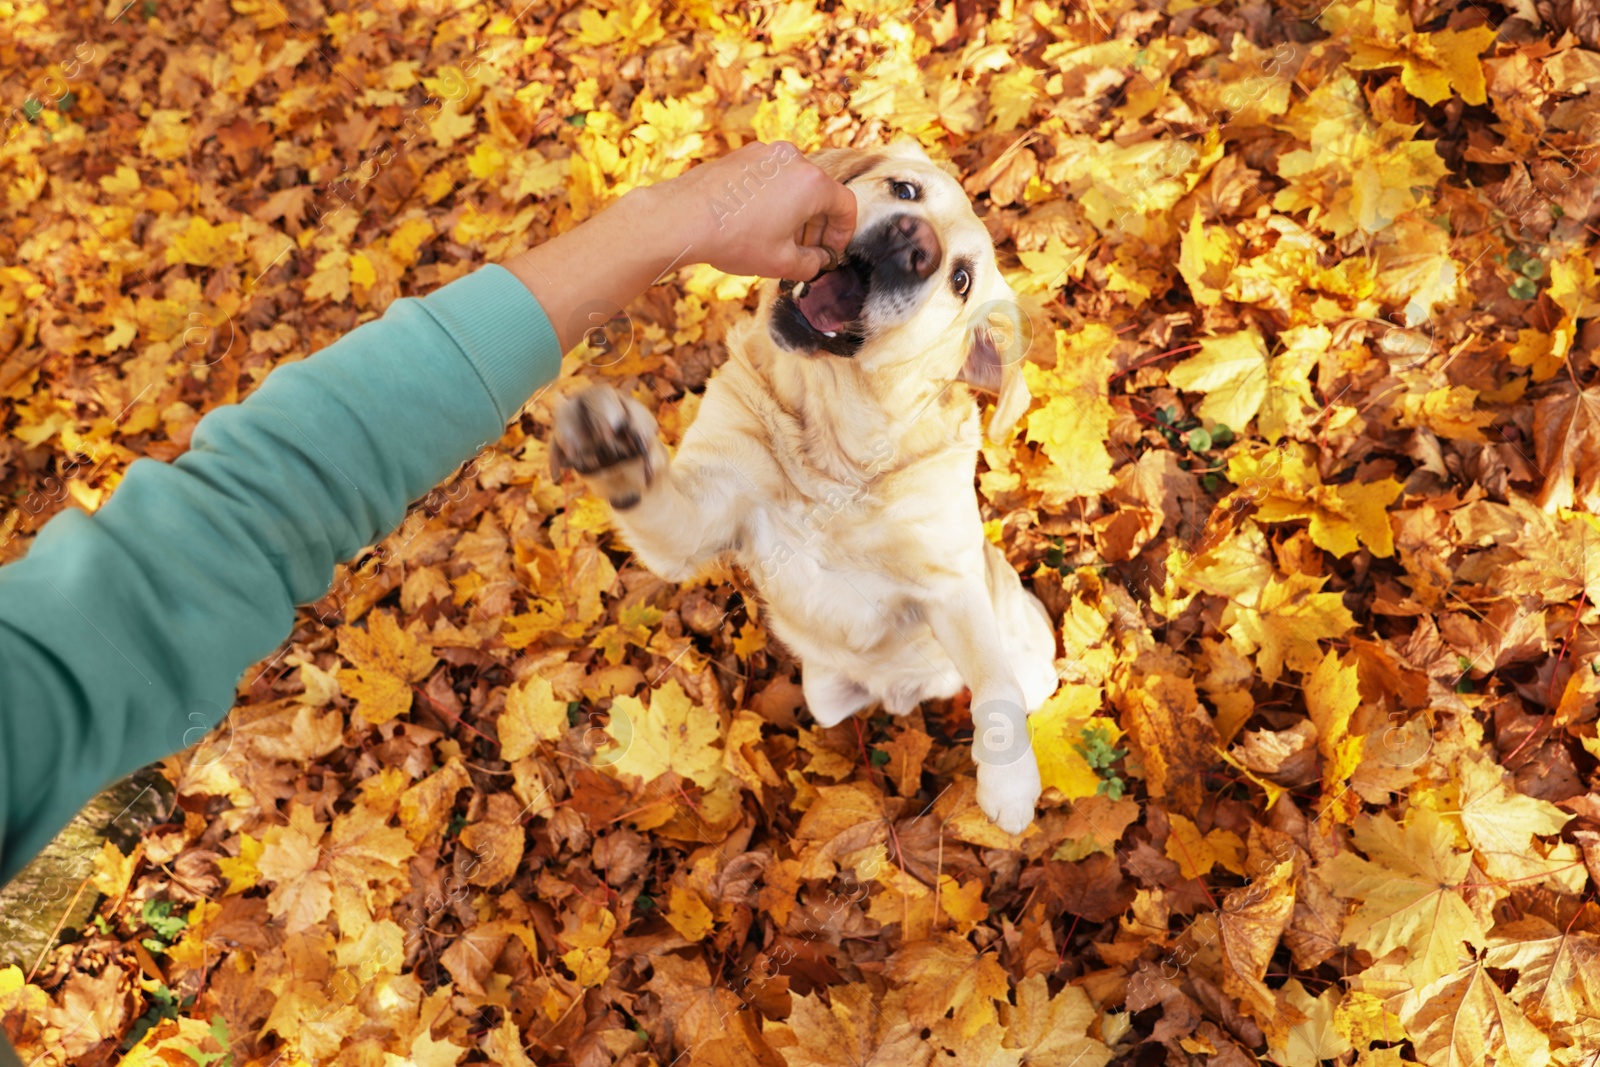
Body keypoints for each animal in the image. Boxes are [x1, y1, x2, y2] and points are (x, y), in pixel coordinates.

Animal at [550, 139, 1062, 831]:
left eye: (961, 282)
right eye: (905, 191)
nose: (914, 243)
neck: (833, 446)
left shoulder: (951, 582)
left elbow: (996, 686)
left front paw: (1009, 784)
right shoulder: (702, 521)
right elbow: (652, 495)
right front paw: (613, 450)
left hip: (1032, 647)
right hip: (823, 692)